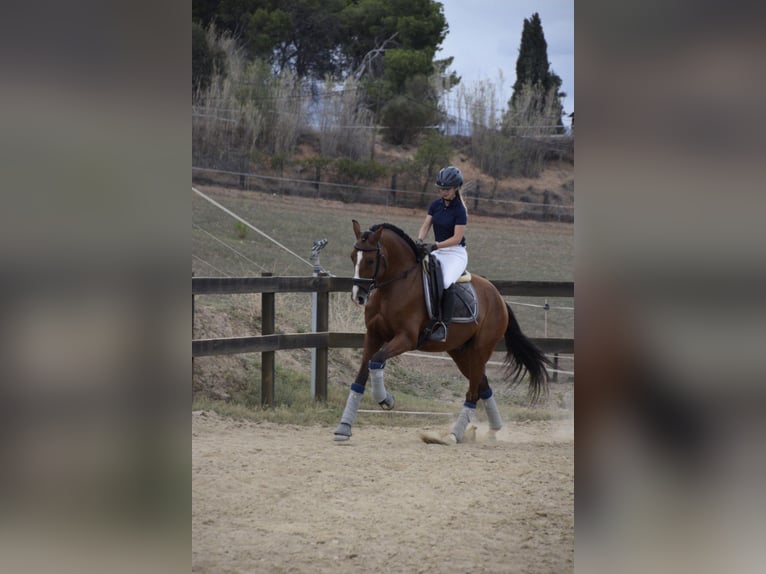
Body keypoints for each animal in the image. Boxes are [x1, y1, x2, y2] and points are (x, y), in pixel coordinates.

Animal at [334, 220, 552, 443]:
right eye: (353, 256)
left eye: (370, 260)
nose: (358, 297)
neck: (394, 286)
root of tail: (498, 297)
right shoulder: (373, 335)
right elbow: (360, 377)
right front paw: (344, 427)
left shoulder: (406, 339)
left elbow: (376, 360)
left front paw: (387, 400)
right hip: (461, 352)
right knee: (483, 385)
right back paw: (492, 430)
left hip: (481, 350)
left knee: (473, 393)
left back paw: (455, 435)